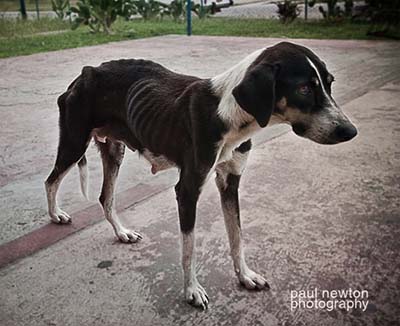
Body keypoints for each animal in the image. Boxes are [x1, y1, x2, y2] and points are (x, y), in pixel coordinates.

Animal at [45, 42, 358, 310]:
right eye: (303, 88)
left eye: (329, 83)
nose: (350, 131)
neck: (231, 115)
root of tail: (85, 73)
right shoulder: (187, 190)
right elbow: (190, 249)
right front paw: (192, 291)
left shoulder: (230, 183)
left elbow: (237, 237)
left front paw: (245, 276)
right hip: (74, 143)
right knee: (51, 181)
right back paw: (56, 215)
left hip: (114, 151)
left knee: (105, 198)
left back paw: (122, 232)